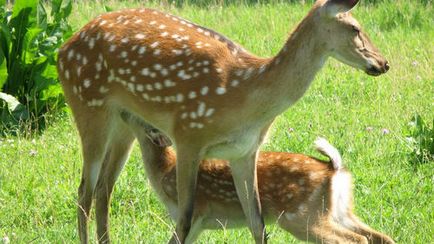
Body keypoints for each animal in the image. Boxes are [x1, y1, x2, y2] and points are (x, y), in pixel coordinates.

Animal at [127, 117, 396, 242]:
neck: (165, 170)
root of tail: (334, 168)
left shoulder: (196, 213)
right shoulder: (199, 223)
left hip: (301, 216)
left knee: (356, 239)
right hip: (341, 211)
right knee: (380, 237)